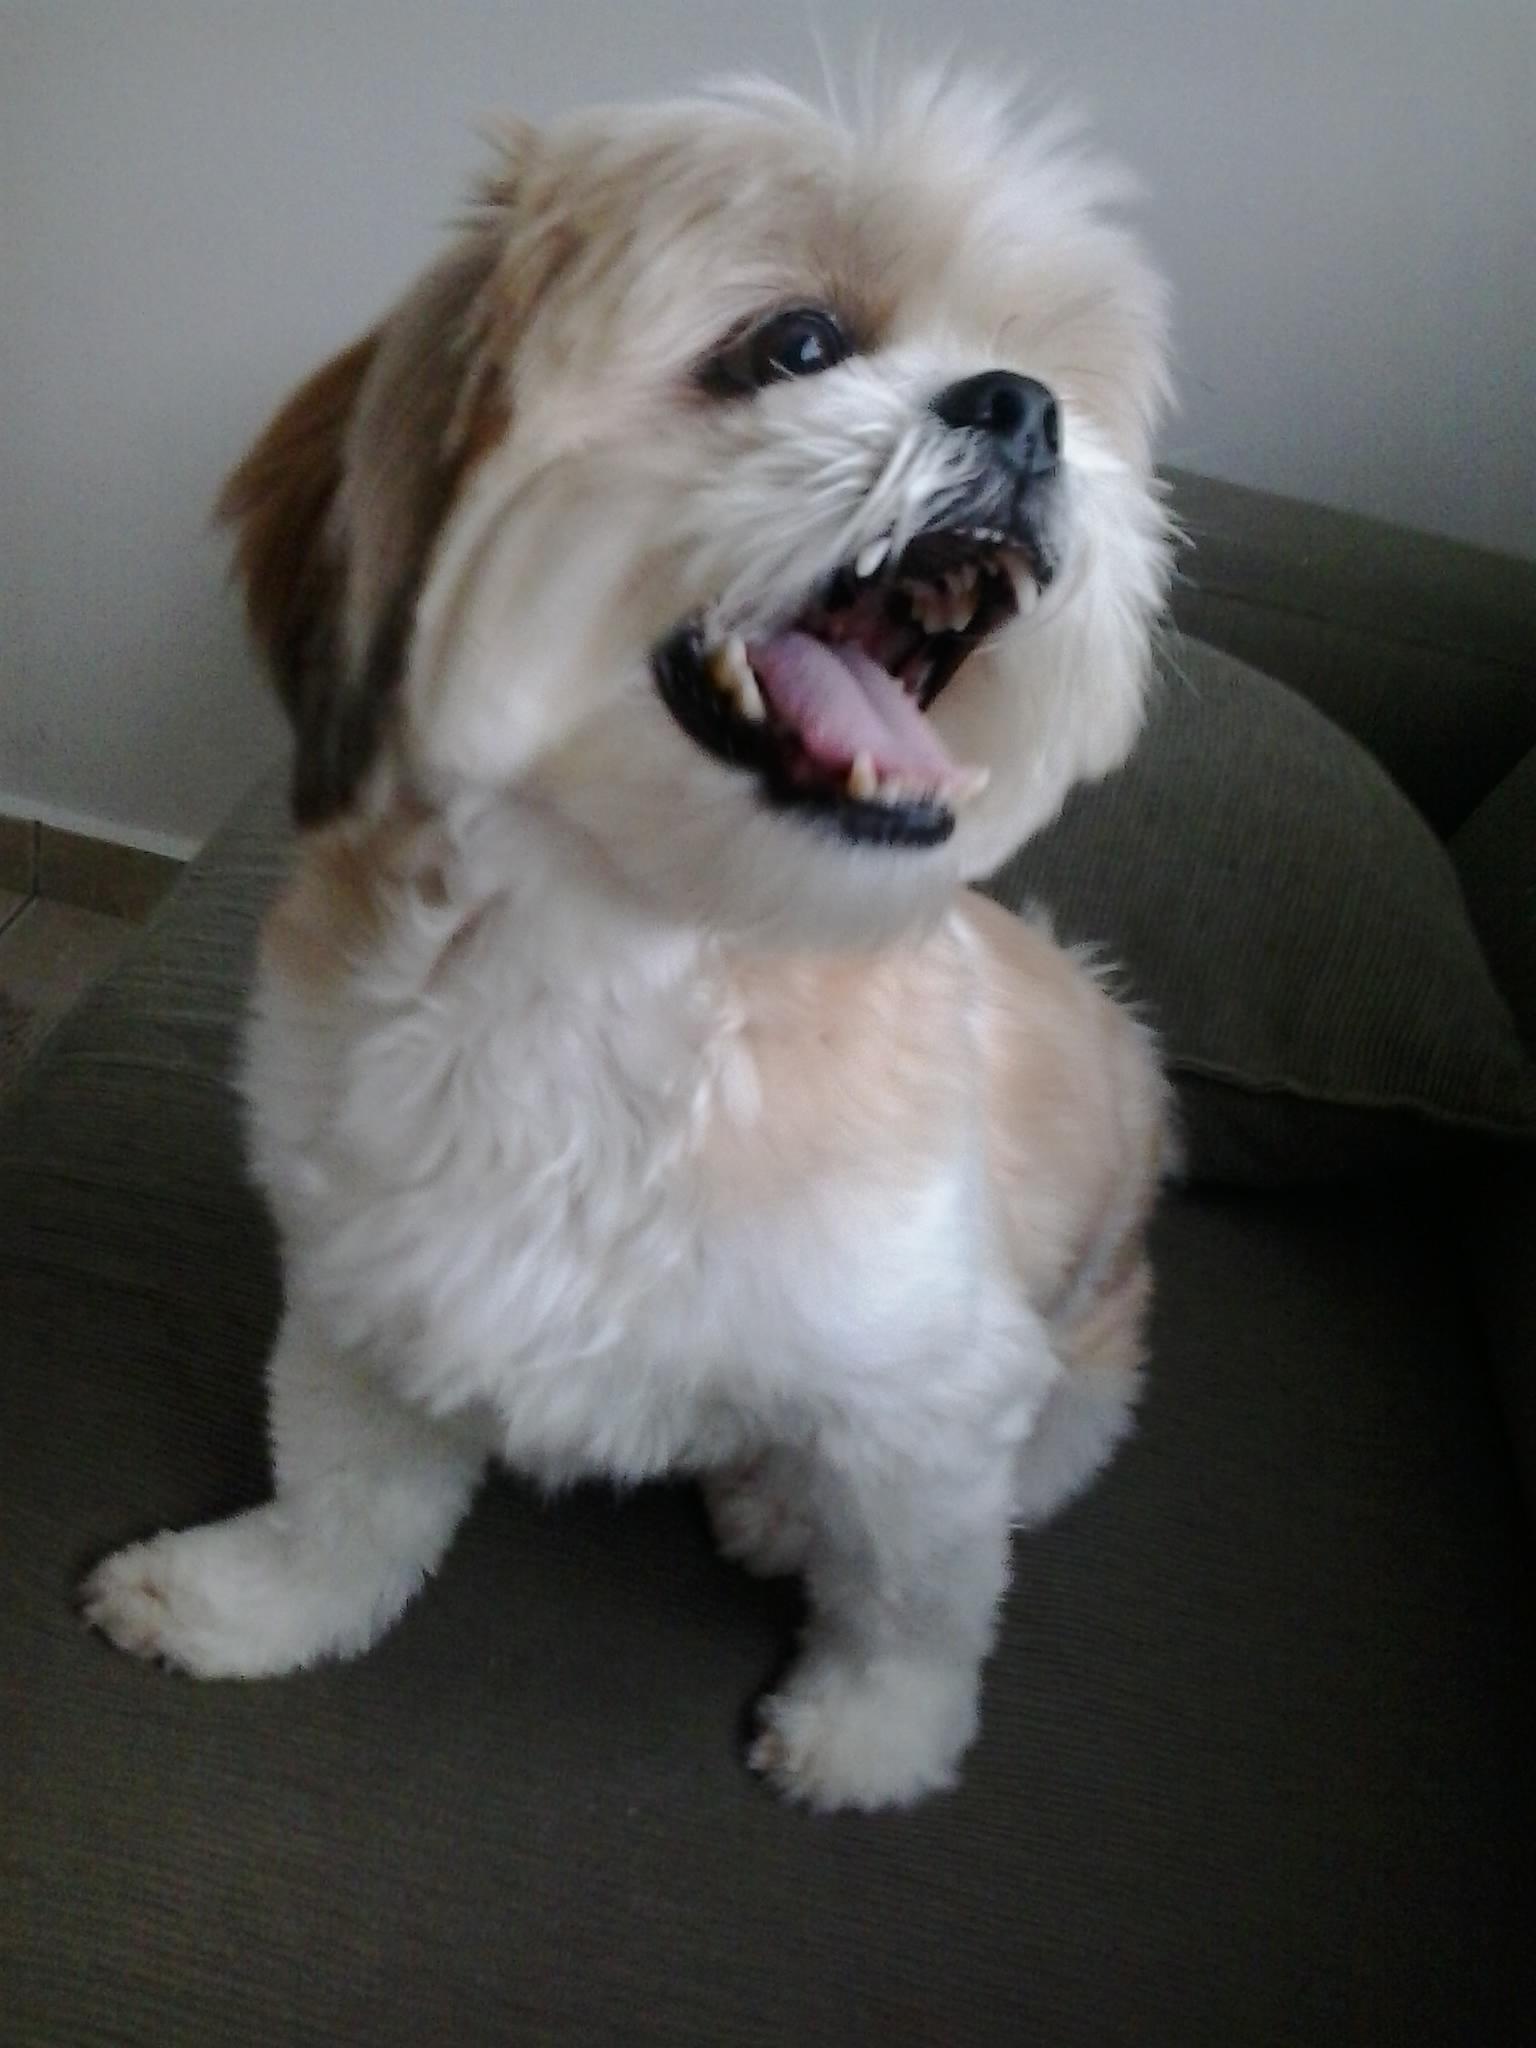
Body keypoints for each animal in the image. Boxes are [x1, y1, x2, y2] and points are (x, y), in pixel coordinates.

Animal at [81, 70, 1174, 1811]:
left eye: (1052, 375)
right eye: (796, 344)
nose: (1020, 408)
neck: (628, 962)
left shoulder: (929, 1407)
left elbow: (918, 1598)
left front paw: (877, 1739)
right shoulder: (377, 1279)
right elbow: (347, 1499)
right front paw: (256, 1602)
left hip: (1087, 1340)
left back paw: (782, 1503)